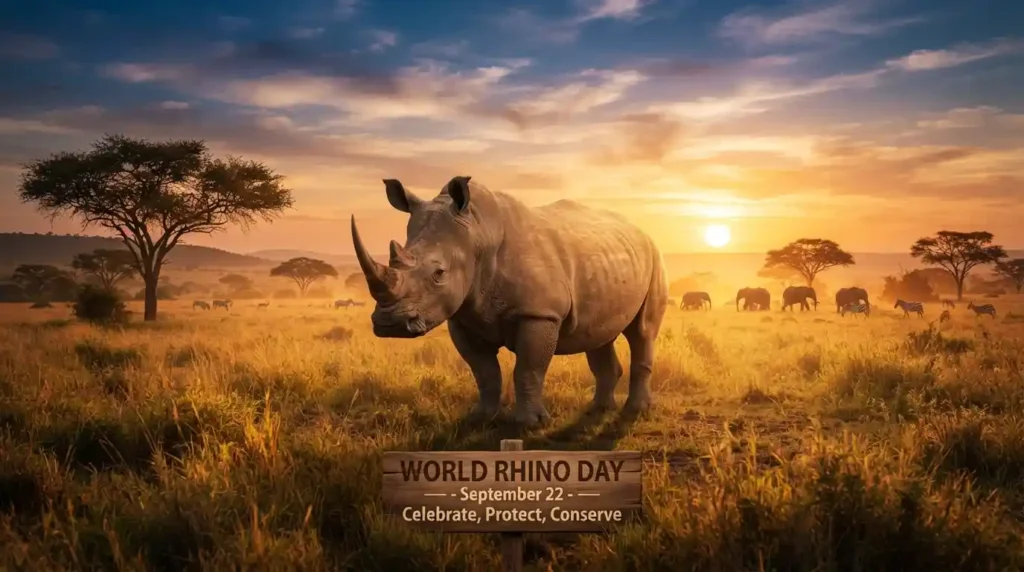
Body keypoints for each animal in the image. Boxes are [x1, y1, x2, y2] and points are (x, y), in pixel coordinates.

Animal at [350, 176, 668, 427]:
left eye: (439, 274)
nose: (390, 324)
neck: (477, 235)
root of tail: (641, 230)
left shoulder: (539, 313)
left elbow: (528, 369)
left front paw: (530, 424)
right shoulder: (463, 316)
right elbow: (484, 371)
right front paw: (480, 418)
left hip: (654, 256)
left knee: (642, 332)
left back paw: (634, 412)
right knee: (598, 334)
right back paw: (598, 410)